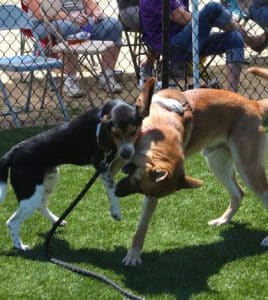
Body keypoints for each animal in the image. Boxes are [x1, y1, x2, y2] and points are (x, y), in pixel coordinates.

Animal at [0, 79, 155, 251]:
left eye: (133, 132)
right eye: (115, 134)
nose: (126, 153)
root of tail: (12, 152)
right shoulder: (100, 163)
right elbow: (112, 188)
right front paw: (115, 211)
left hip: (48, 181)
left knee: (41, 205)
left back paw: (56, 221)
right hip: (30, 193)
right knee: (12, 222)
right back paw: (20, 246)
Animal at [116, 77, 268, 264]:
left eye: (141, 189)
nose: (117, 192)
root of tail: (254, 104)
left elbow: (143, 223)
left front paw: (134, 254)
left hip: (248, 168)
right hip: (217, 163)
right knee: (238, 193)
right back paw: (222, 220)